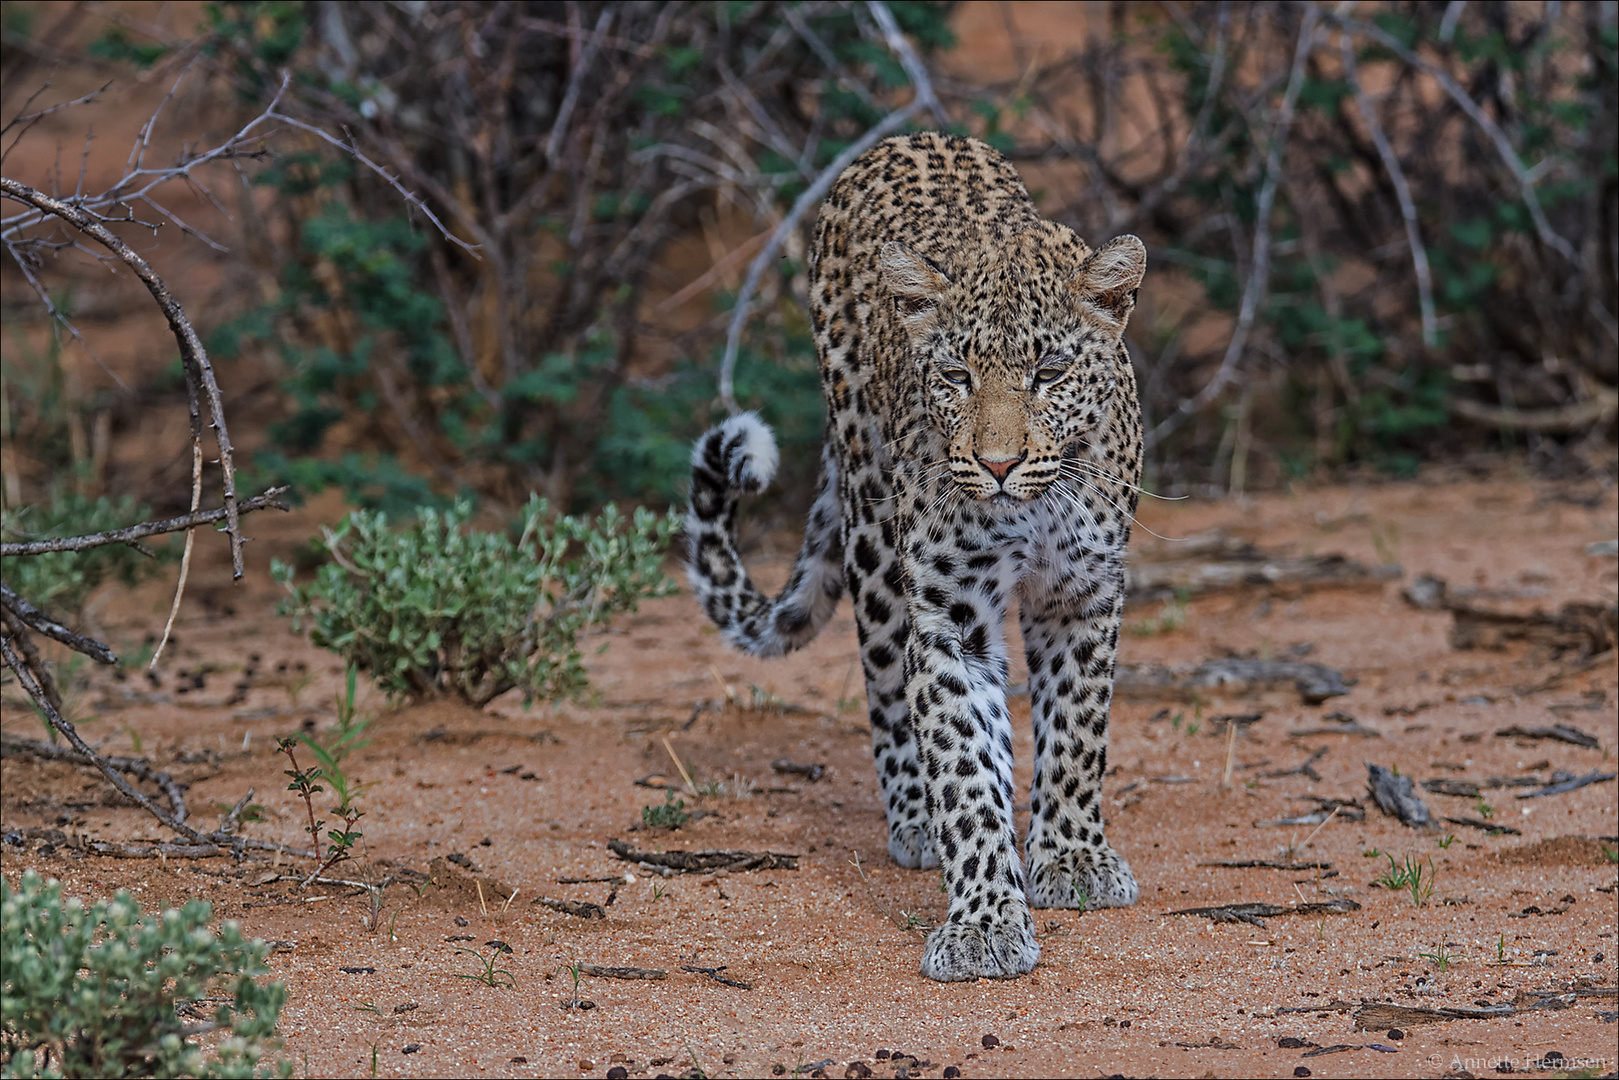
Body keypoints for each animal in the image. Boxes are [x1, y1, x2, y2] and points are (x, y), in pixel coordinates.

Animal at [683, 131, 1152, 984]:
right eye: (955, 376)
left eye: (1048, 374)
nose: (997, 464)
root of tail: (907, 138)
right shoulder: (948, 615)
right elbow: (962, 768)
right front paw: (982, 921)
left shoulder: (1081, 594)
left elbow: (1075, 734)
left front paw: (1071, 860)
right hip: (870, 528)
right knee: (888, 688)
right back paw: (918, 822)